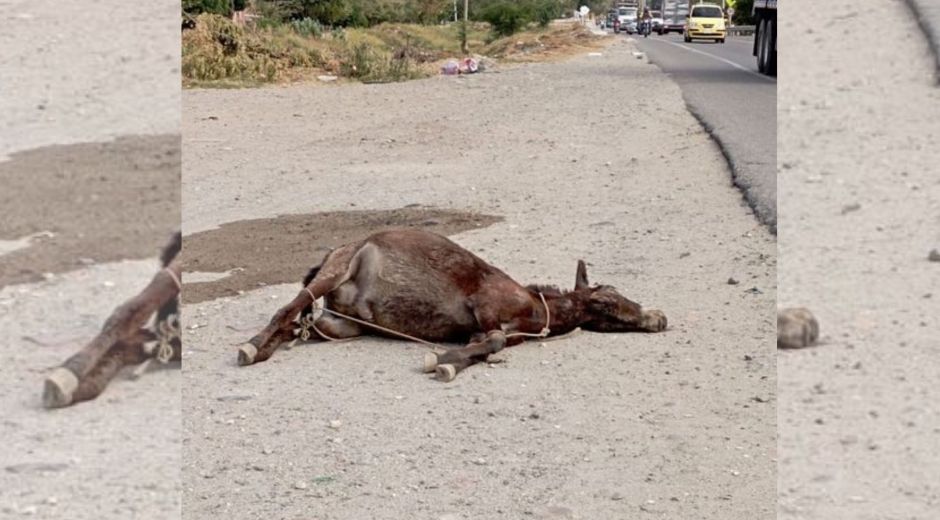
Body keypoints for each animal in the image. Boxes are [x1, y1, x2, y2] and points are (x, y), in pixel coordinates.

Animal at [242, 230, 668, 380]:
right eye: (609, 301)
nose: (659, 318)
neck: (536, 310)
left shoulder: (483, 330)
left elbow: (487, 346)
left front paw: (449, 361)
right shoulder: (484, 308)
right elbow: (495, 341)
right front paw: (442, 361)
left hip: (341, 325)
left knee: (300, 324)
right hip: (335, 271)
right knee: (287, 308)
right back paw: (252, 348)